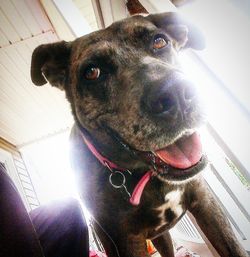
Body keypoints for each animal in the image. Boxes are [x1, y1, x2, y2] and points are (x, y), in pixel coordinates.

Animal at [30, 12, 247, 256]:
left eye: (160, 41)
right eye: (92, 72)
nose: (176, 93)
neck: (145, 174)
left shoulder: (206, 203)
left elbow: (233, 247)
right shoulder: (127, 239)